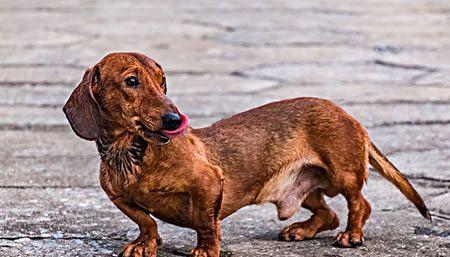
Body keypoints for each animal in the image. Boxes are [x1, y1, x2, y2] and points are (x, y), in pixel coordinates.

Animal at [62, 52, 428, 256]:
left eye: (162, 81)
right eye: (131, 81)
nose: (175, 120)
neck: (134, 154)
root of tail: (350, 117)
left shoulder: (209, 184)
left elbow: (205, 223)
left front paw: (206, 250)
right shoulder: (117, 197)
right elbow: (145, 220)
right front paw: (145, 243)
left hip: (343, 173)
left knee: (359, 204)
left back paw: (352, 235)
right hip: (305, 188)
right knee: (328, 213)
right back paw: (301, 230)